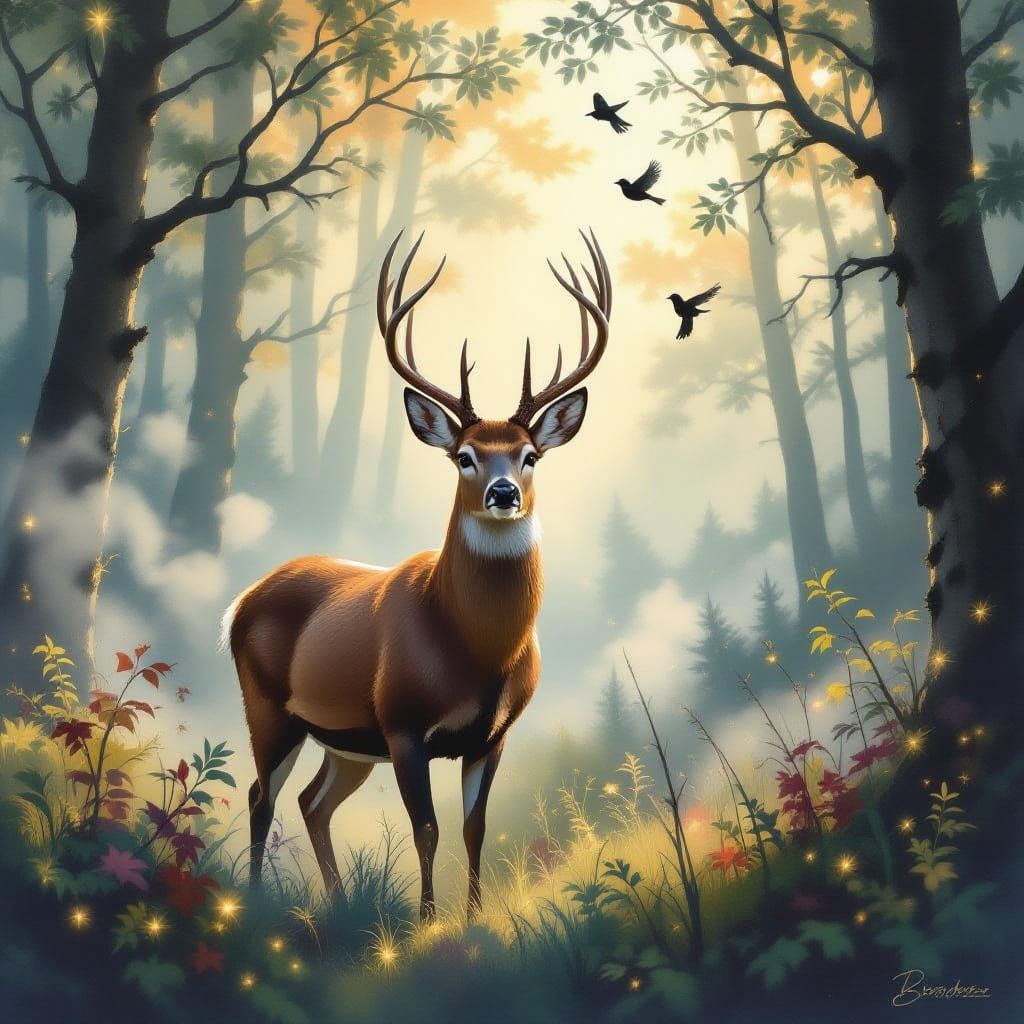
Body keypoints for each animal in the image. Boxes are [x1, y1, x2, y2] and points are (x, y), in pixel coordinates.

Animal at [222, 228, 612, 921]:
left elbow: (473, 827)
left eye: (531, 455)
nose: (505, 493)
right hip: (267, 706)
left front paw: (475, 918)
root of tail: (239, 602)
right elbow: (425, 828)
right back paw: (257, 901)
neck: (472, 647)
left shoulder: (491, 735)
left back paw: (337, 902)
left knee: (311, 802)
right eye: (464, 457)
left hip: (344, 741)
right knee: (261, 796)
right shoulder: (403, 724)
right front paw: (427, 923)